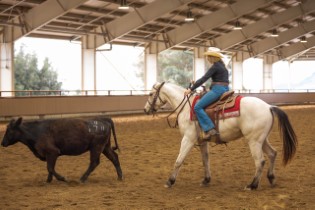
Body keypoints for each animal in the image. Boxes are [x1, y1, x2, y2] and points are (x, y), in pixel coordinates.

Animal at [144, 82, 298, 190]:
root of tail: (269, 107)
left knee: (260, 161)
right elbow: (205, 160)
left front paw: (170, 181)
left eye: (151, 94)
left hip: (254, 141)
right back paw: (271, 178)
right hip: (262, 139)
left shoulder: (188, 139)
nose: (146, 110)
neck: (186, 108)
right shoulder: (202, 141)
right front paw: (206, 179)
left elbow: (179, 160)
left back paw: (252, 185)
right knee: (273, 153)